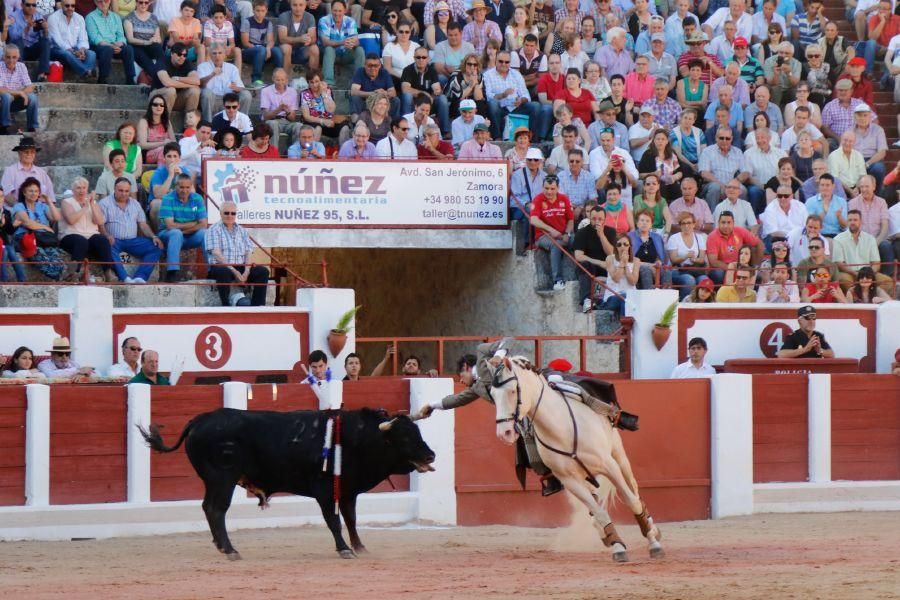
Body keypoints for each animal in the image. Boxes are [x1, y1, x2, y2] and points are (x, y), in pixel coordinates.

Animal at [137, 408, 436, 556]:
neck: (357, 438)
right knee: (216, 508)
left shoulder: (347, 490)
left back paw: (222, 546)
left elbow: (351, 518)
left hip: (214, 480)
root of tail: (199, 420)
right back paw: (231, 550)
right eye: (405, 437)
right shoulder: (325, 490)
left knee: (208, 507)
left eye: (418, 432)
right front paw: (344, 549)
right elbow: (334, 520)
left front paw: (360, 547)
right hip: (222, 478)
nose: (431, 455)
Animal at [492, 356, 660, 564]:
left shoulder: (609, 466)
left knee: (634, 491)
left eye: (512, 391)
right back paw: (607, 536)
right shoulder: (570, 481)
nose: (504, 433)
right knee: (595, 510)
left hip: (619, 456)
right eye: (492, 395)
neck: (562, 428)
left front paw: (654, 544)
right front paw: (618, 547)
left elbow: (631, 501)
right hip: (584, 478)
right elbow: (600, 513)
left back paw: (653, 530)